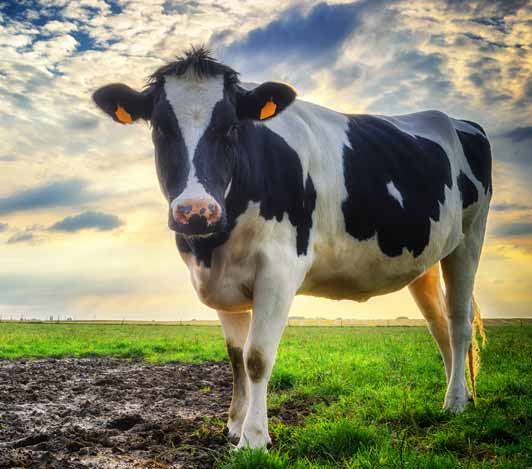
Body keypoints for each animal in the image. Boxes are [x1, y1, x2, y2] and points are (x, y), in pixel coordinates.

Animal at [93, 47, 492, 450]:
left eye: (231, 128)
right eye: (161, 129)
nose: (196, 212)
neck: (215, 245)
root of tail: (459, 121)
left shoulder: (280, 268)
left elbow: (256, 356)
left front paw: (253, 439)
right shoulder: (219, 279)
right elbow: (235, 356)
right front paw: (234, 425)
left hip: (469, 238)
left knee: (458, 323)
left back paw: (456, 402)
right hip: (425, 260)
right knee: (438, 324)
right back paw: (457, 395)